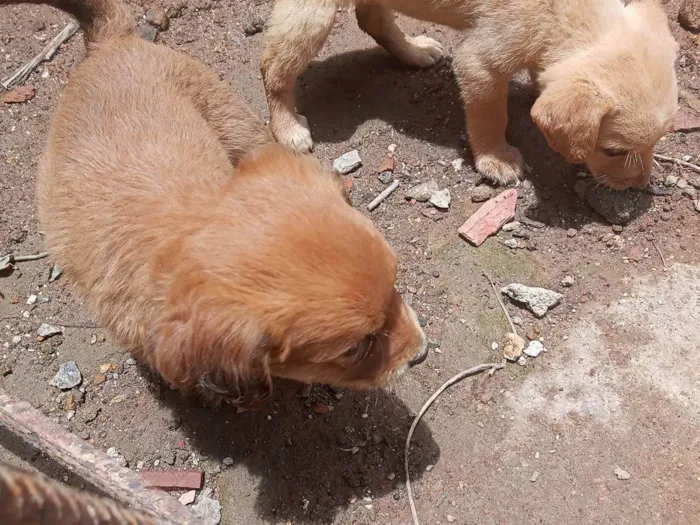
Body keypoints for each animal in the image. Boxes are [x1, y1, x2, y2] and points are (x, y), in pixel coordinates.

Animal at [1, 0, 426, 408]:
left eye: (396, 283)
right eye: (355, 348)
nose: (421, 354)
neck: (186, 219)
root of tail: (112, 41)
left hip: (235, 121)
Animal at [262, 0, 680, 188]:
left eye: (659, 141)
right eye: (613, 151)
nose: (640, 185)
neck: (568, 15)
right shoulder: (480, 62)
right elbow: (489, 116)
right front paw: (496, 159)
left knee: (372, 17)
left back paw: (414, 51)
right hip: (311, 15)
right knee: (271, 67)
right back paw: (287, 127)